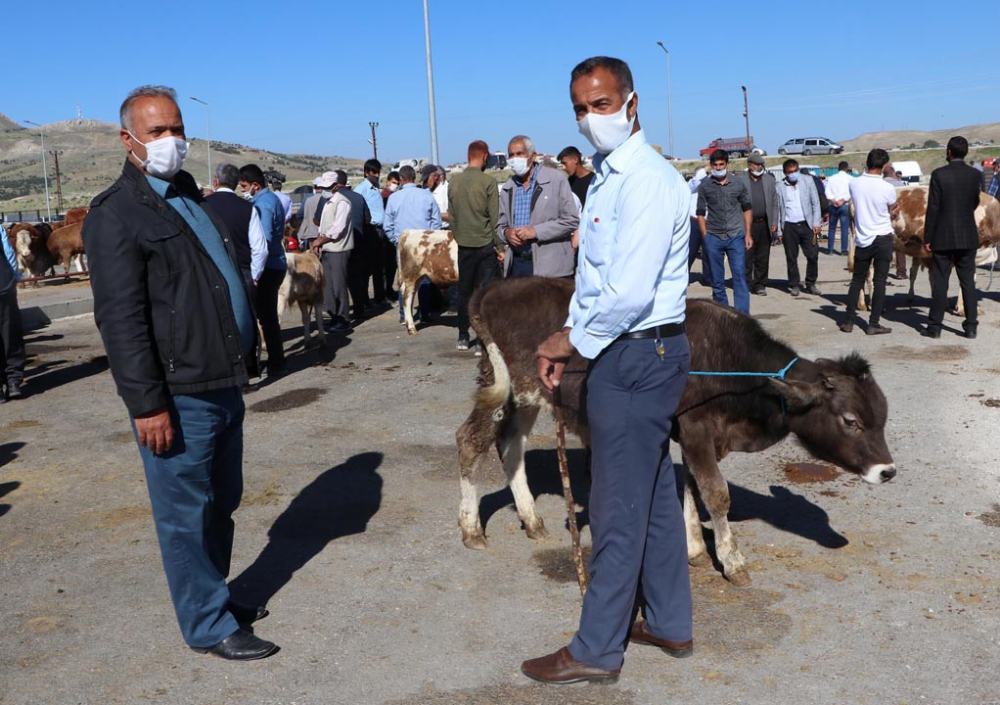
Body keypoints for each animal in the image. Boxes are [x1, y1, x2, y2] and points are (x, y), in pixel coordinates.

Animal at [458, 278, 896, 584]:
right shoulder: (698, 428)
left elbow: (690, 486)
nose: (887, 471)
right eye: (851, 421)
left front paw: (694, 548)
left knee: (511, 446)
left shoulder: (690, 433)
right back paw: (471, 527)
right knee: (471, 441)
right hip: (504, 383)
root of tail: (496, 286)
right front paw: (731, 560)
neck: (737, 371)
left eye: (882, 416)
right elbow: (716, 494)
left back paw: (531, 520)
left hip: (527, 397)